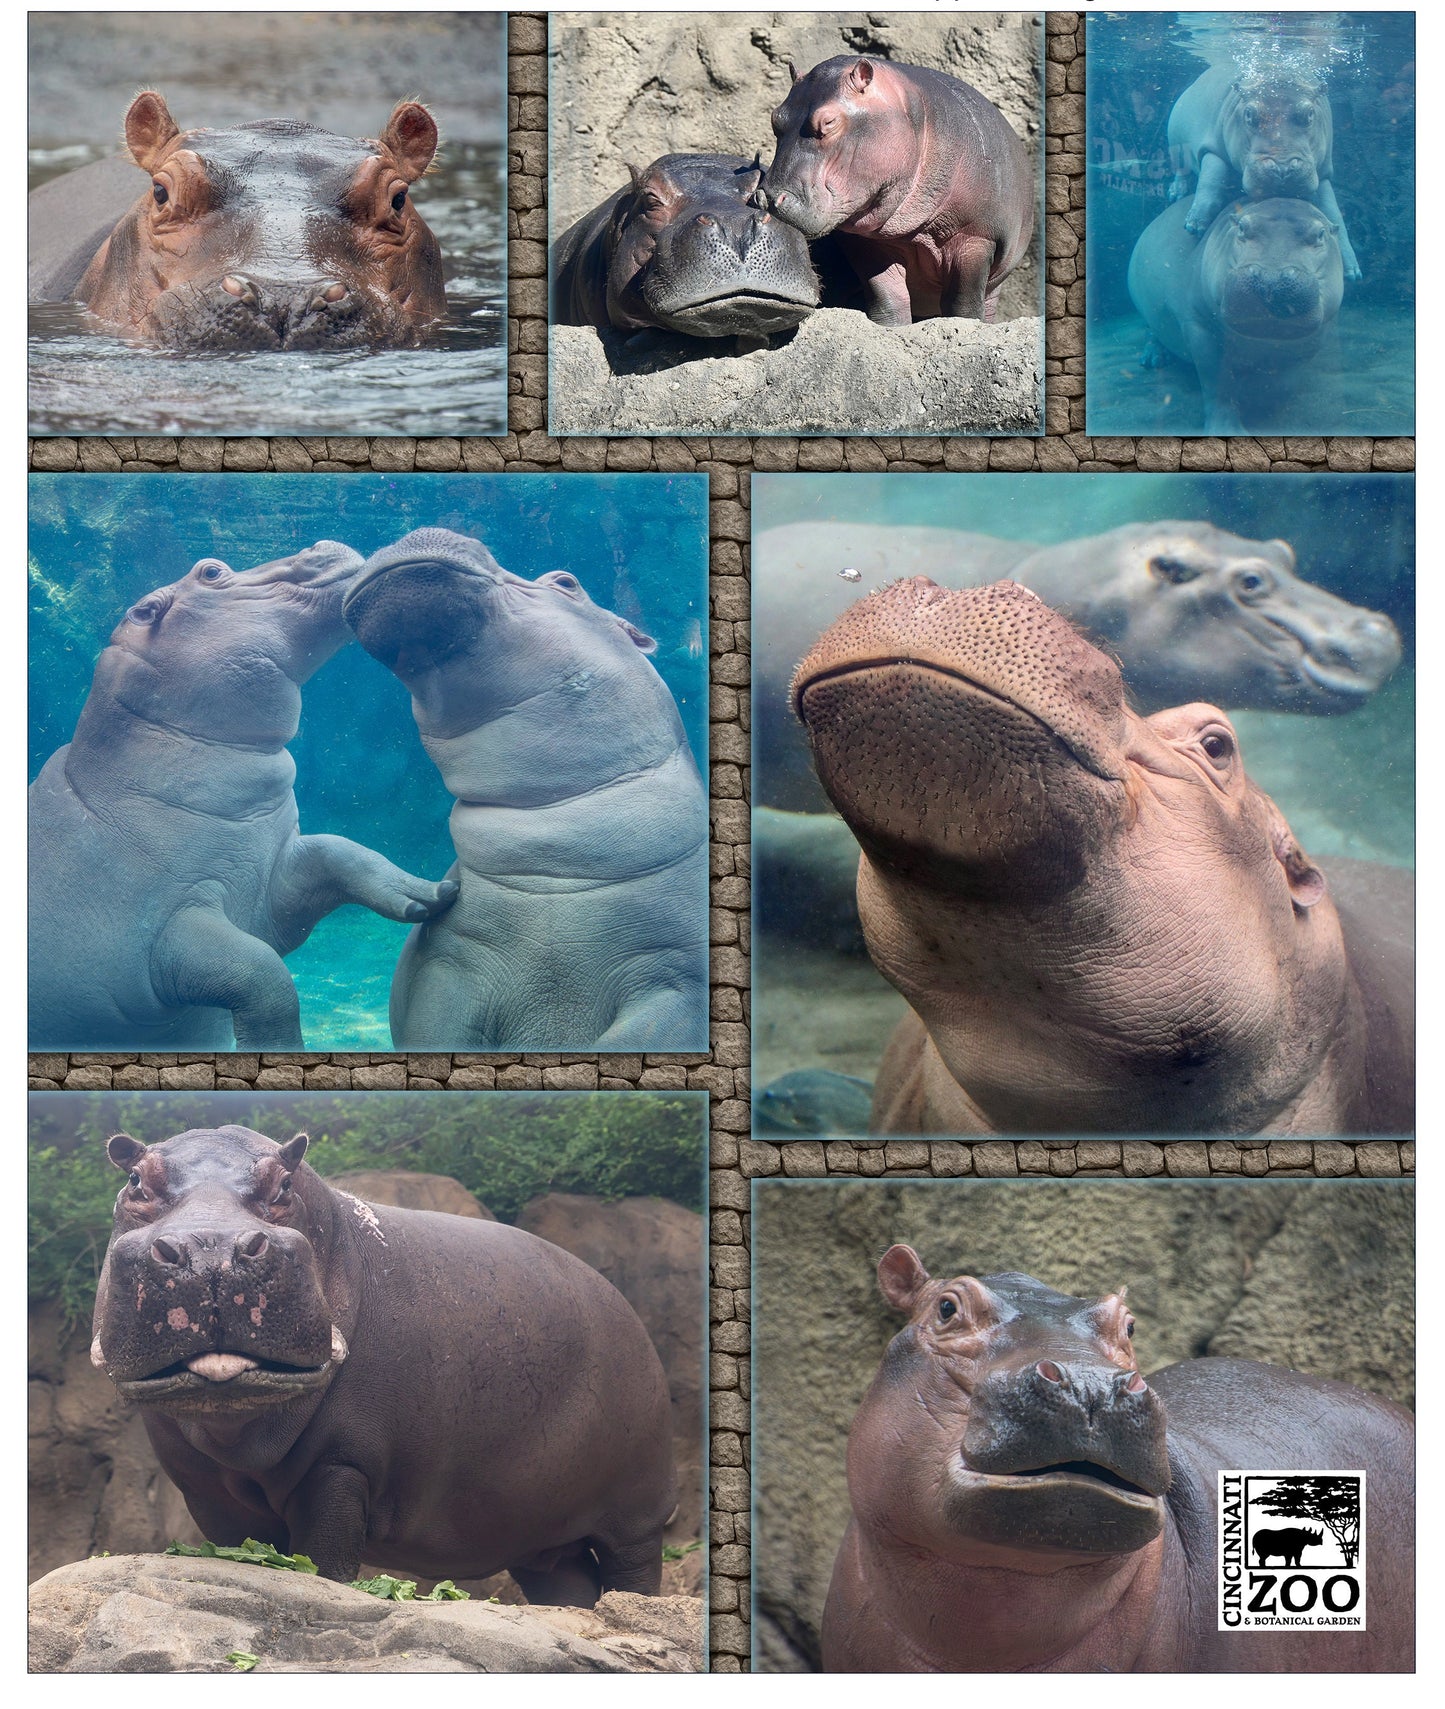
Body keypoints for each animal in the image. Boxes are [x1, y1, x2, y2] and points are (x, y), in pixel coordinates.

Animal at [28, 543, 457, 1052]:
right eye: (212, 572)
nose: (319, 546)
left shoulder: (271, 891)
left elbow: (339, 851)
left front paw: (428, 897)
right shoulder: (167, 931)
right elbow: (262, 976)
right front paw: (281, 1054)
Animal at [89, 1126, 677, 1601]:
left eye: (285, 1185)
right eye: (136, 1180)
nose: (210, 1250)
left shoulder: (342, 1464)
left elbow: (325, 1561)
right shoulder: (207, 1492)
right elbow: (244, 1549)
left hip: (638, 1511)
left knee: (634, 1570)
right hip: (538, 1534)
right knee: (568, 1583)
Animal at [763, 57, 1034, 323]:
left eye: (829, 121)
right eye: (775, 118)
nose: (767, 196)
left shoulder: (975, 238)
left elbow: (964, 303)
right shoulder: (867, 244)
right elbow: (888, 297)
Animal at [1129, 196, 1345, 434]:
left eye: (1321, 233)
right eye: (1242, 227)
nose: (1270, 280)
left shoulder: (1313, 339)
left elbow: (1285, 382)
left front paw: (1259, 397)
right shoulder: (1198, 324)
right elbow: (1216, 381)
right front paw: (1227, 430)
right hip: (1150, 312)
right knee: (1151, 332)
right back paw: (1153, 359)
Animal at [1167, 63, 1360, 278]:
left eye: (1310, 113)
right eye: (1249, 114)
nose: (1282, 167)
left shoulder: (1324, 173)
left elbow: (1333, 213)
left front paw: (1352, 271)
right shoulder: (1214, 148)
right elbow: (1210, 182)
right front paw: (1194, 225)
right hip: (1175, 143)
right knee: (1181, 170)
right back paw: (1176, 193)